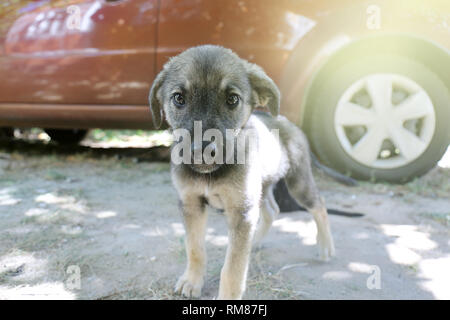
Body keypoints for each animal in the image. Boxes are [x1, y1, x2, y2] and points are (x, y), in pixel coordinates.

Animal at [149, 45, 334, 300]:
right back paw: (255, 241)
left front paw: (228, 296)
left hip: (298, 182)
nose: (202, 152)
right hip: (260, 187)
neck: (211, 174)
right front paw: (192, 280)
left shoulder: (241, 210)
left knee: (319, 205)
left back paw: (325, 245)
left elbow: (233, 267)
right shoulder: (191, 203)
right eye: (179, 98)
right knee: (272, 210)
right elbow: (194, 247)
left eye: (232, 99)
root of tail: (287, 120)